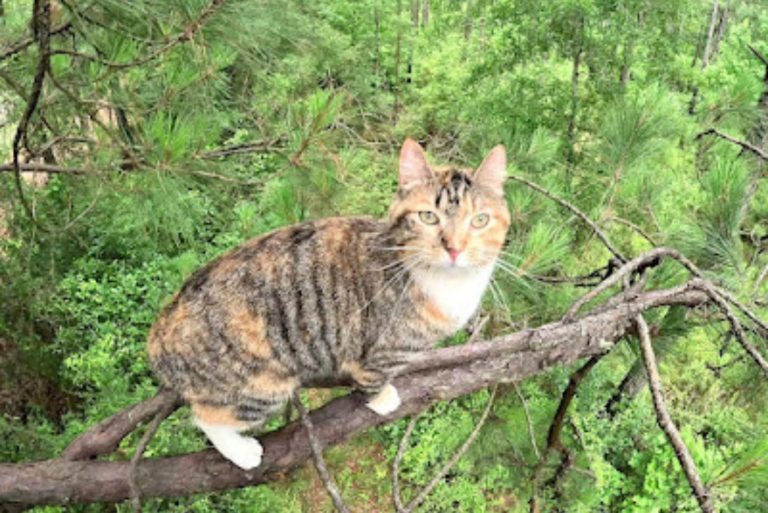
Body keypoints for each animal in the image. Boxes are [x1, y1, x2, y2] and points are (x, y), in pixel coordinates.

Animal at [148, 139, 512, 468]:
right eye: (428, 217)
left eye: (480, 220)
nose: (454, 248)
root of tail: (158, 334)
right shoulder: (381, 348)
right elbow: (374, 376)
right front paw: (382, 399)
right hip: (261, 385)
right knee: (208, 417)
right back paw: (241, 452)